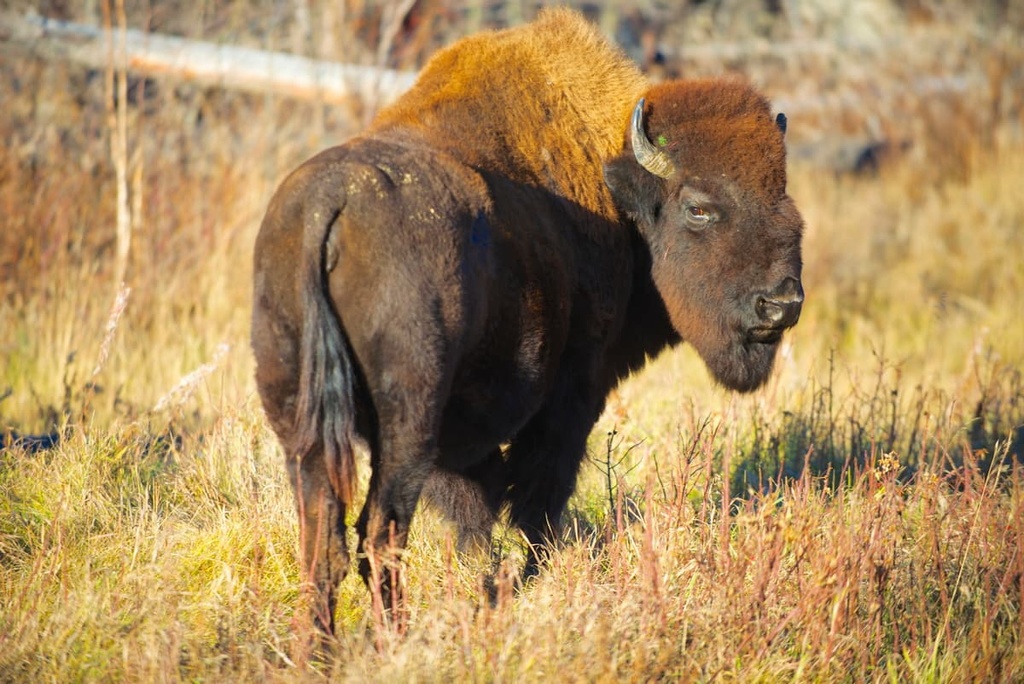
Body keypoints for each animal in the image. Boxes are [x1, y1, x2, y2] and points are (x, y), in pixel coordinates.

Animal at [251, 7, 802, 634]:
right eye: (699, 208)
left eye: (784, 197)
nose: (781, 305)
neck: (613, 181)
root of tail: (328, 206)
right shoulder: (575, 389)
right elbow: (538, 488)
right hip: (405, 423)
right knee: (380, 531)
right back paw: (395, 637)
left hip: (300, 421)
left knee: (324, 540)